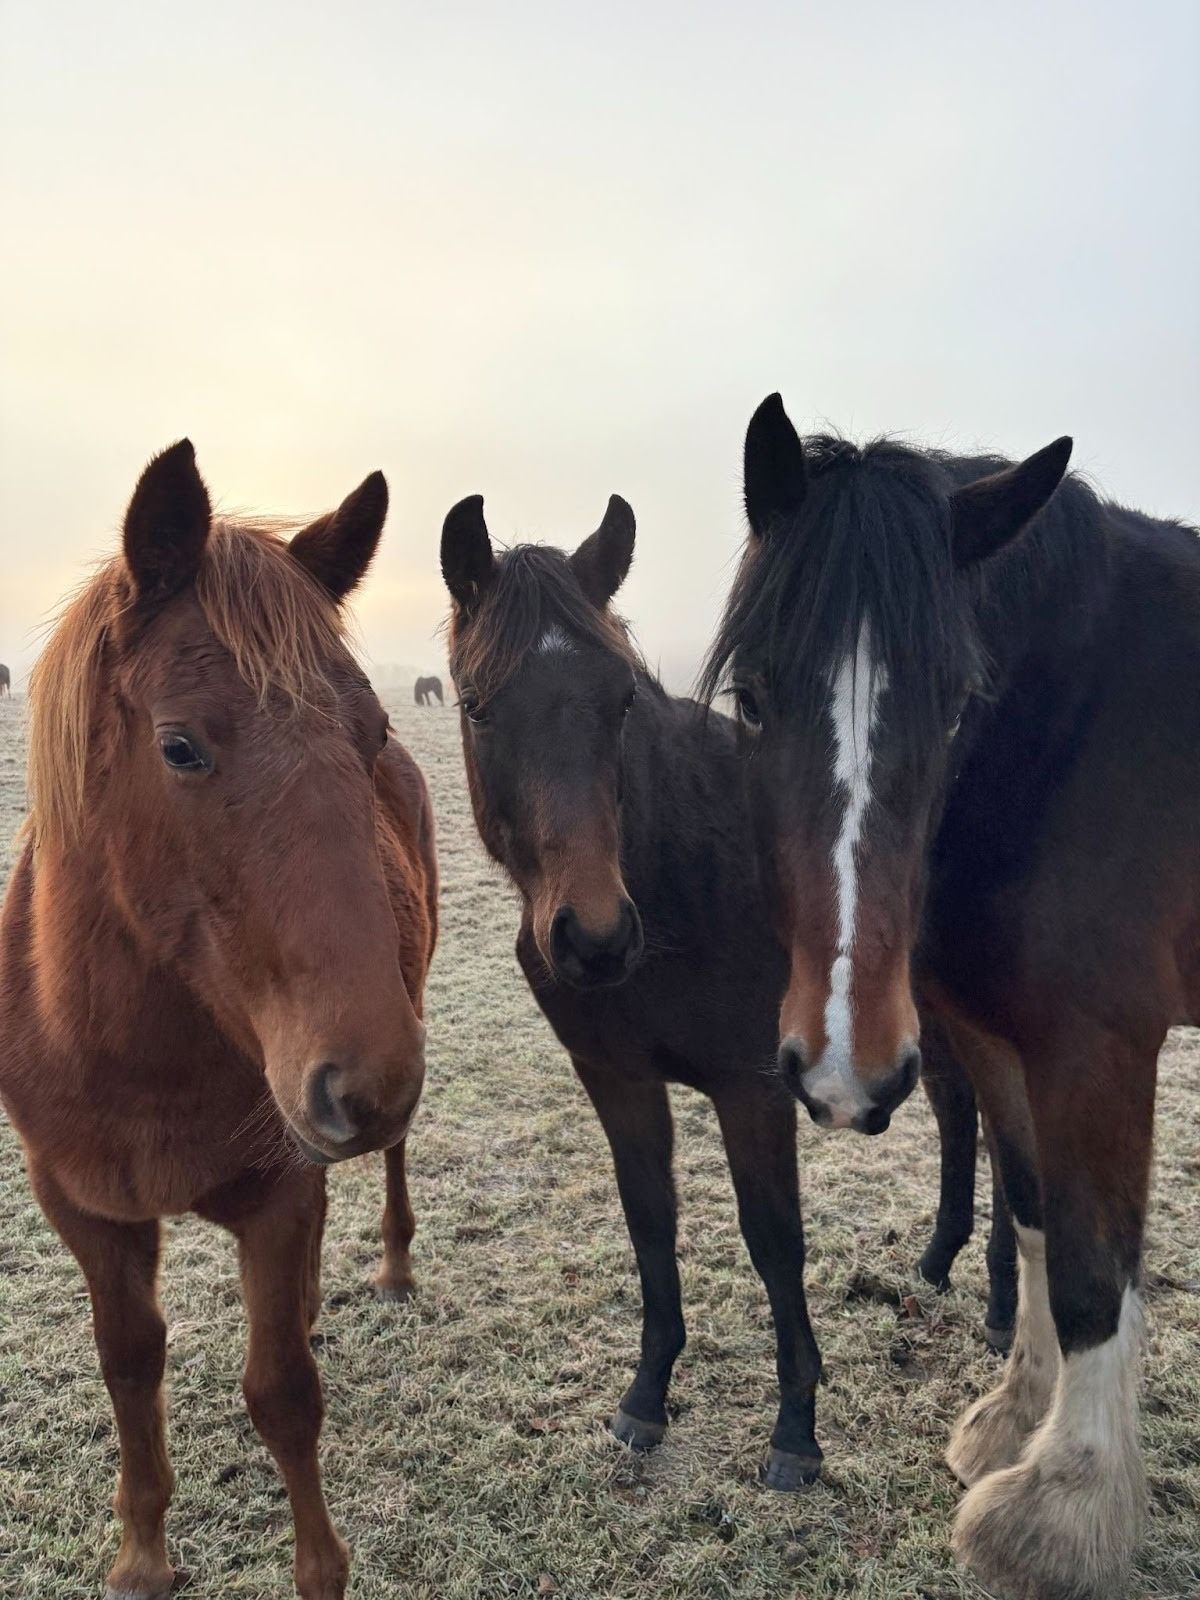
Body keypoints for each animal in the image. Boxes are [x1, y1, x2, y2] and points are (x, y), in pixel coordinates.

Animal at [0, 442, 438, 1600]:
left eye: (372, 730)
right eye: (181, 747)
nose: (367, 1080)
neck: (131, 1055)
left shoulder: (274, 1196)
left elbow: (282, 1394)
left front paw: (320, 1571)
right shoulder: (86, 1212)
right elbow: (129, 1362)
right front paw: (142, 1555)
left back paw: (388, 1265)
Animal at [440, 492, 1012, 1489]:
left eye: (622, 699)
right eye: (477, 706)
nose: (594, 937)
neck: (680, 876)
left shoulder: (755, 1089)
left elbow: (774, 1241)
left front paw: (796, 1431)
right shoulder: (617, 1080)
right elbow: (650, 1222)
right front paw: (646, 1397)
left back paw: (1008, 1314)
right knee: (954, 1113)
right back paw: (938, 1261)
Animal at [702, 394, 1200, 1599]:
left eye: (961, 699)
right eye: (753, 697)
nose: (843, 1072)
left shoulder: (1100, 1050)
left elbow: (1091, 1270)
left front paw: (1059, 1512)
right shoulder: (1000, 1043)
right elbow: (1032, 1220)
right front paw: (1013, 1420)